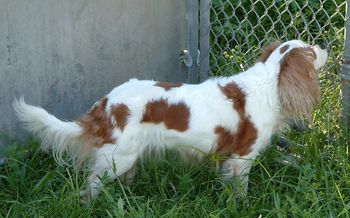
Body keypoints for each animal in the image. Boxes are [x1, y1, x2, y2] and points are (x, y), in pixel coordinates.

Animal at [13, 40, 328, 202]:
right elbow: (240, 189)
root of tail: (105, 103)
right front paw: (241, 205)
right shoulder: (241, 158)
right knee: (90, 186)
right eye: (311, 51)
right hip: (118, 158)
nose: (324, 45)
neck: (269, 83)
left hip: (125, 156)